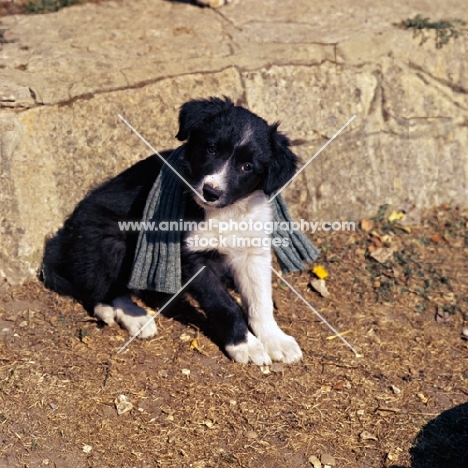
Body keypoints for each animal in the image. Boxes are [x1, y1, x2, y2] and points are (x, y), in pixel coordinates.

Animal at [42, 98, 302, 366]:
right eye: (211, 149)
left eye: (247, 166)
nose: (210, 192)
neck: (224, 212)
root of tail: (64, 238)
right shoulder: (191, 258)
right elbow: (224, 305)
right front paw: (245, 345)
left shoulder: (252, 251)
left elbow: (261, 301)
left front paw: (275, 339)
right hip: (108, 238)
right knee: (100, 287)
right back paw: (132, 315)